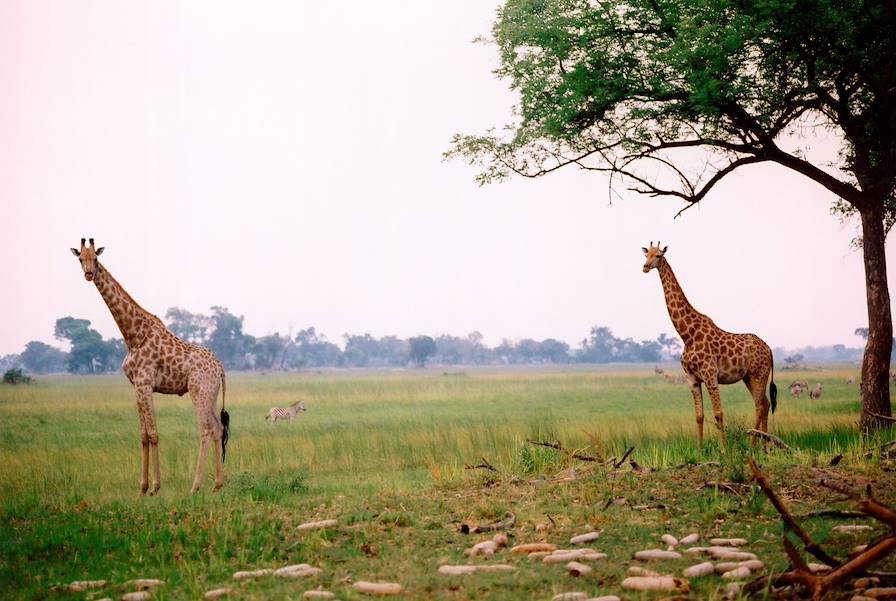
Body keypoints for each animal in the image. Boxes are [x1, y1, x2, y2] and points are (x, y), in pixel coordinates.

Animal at [70, 237, 231, 494]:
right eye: (80, 259)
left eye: (95, 258)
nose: (88, 274)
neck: (133, 335)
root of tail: (221, 368)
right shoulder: (137, 387)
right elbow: (144, 434)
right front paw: (143, 487)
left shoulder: (145, 385)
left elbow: (154, 433)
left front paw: (155, 487)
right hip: (211, 395)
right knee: (217, 429)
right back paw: (216, 485)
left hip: (199, 392)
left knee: (205, 430)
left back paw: (195, 486)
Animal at [640, 240, 772, 446]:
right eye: (646, 255)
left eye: (659, 255)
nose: (645, 267)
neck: (686, 334)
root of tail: (769, 349)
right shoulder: (692, 379)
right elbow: (699, 415)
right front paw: (699, 448)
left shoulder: (710, 376)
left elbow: (718, 413)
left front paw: (723, 449)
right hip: (748, 377)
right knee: (765, 403)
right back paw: (765, 446)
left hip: (758, 374)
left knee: (759, 405)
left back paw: (753, 446)